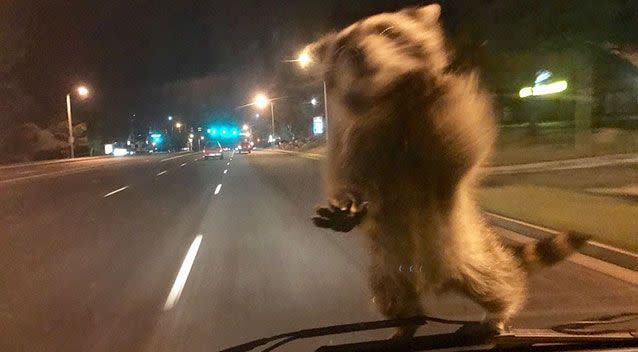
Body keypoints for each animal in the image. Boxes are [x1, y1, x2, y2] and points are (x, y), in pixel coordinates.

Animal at [310, 2, 592, 338]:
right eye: (341, 46)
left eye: (387, 30)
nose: (356, 51)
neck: (387, 97)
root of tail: (436, 281)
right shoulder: (351, 139)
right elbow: (347, 177)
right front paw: (346, 202)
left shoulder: (446, 124)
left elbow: (460, 142)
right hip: (387, 270)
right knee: (392, 297)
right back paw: (405, 325)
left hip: (472, 254)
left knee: (496, 282)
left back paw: (499, 311)